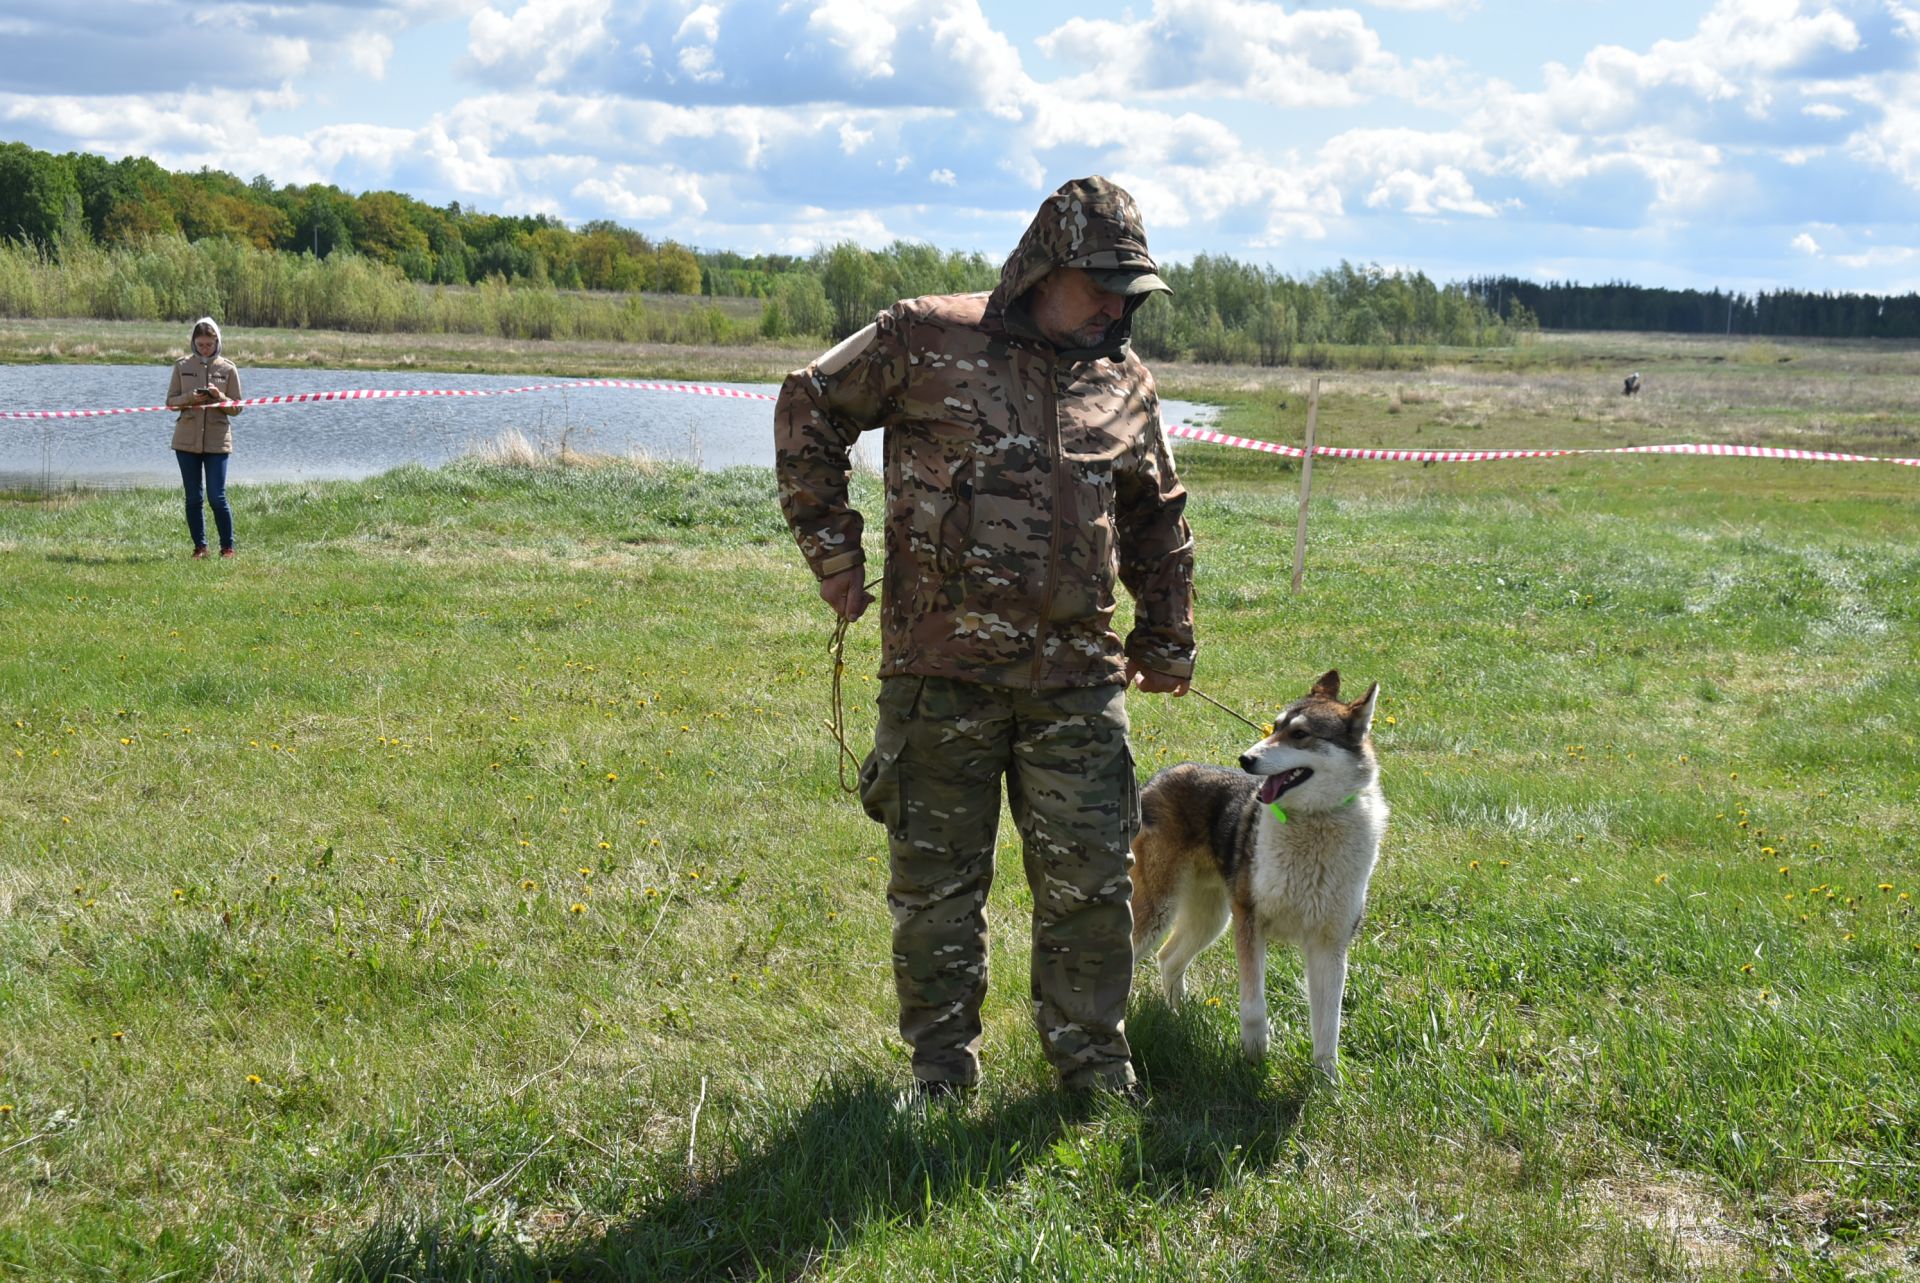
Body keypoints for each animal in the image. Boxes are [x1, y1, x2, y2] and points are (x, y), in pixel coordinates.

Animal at [1128, 672, 1390, 1083]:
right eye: (1276, 726)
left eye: (1300, 734)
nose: (1246, 758)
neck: (1314, 822)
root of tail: (1155, 781)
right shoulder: (1250, 922)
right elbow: (1254, 1004)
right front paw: (1255, 1054)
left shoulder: (1329, 945)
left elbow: (1328, 1025)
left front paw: (1328, 1084)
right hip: (1161, 911)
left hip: (1211, 918)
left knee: (1169, 958)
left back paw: (1176, 1017)